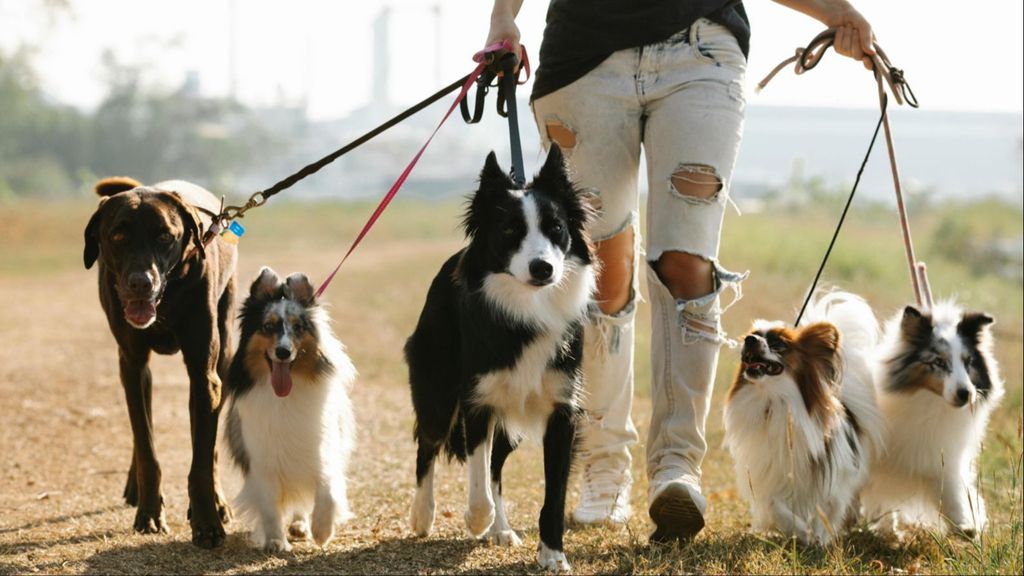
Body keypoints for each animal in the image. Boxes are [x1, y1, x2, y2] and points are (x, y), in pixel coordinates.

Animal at [84, 177, 236, 545]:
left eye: (165, 236)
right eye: (118, 237)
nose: (141, 283)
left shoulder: (204, 374)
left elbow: (201, 461)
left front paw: (207, 522)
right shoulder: (132, 364)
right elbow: (146, 447)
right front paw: (150, 512)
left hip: (223, 357)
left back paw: (218, 501)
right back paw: (135, 485)